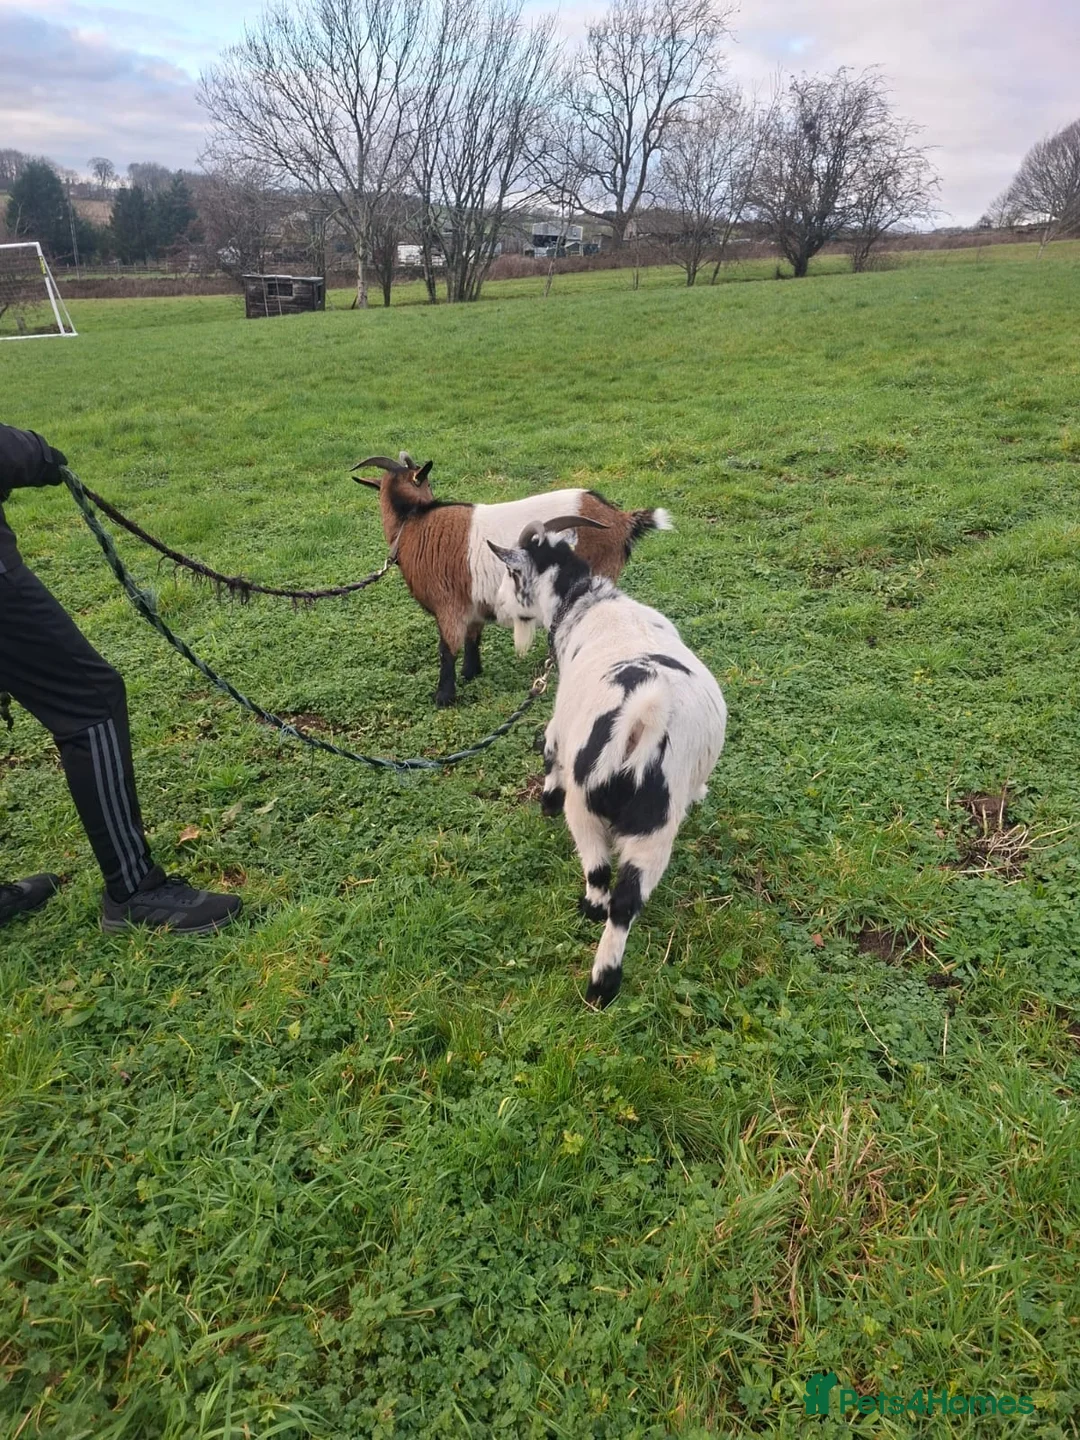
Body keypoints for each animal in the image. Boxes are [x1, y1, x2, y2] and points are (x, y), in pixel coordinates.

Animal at [353, 452, 671, 706]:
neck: (413, 522)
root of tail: (619, 520)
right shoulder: (472, 602)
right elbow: (472, 638)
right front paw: (471, 673)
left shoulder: (448, 604)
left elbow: (447, 649)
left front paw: (443, 698)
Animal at [488, 517, 727, 1008]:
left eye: (513, 574)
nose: (496, 608)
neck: (588, 605)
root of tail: (643, 720)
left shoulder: (559, 726)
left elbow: (549, 756)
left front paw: (543, 803)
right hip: (655, 827)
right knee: (626, 902)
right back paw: (607, 983)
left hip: (585, 809)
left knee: (600, 881)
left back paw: (595, 964)